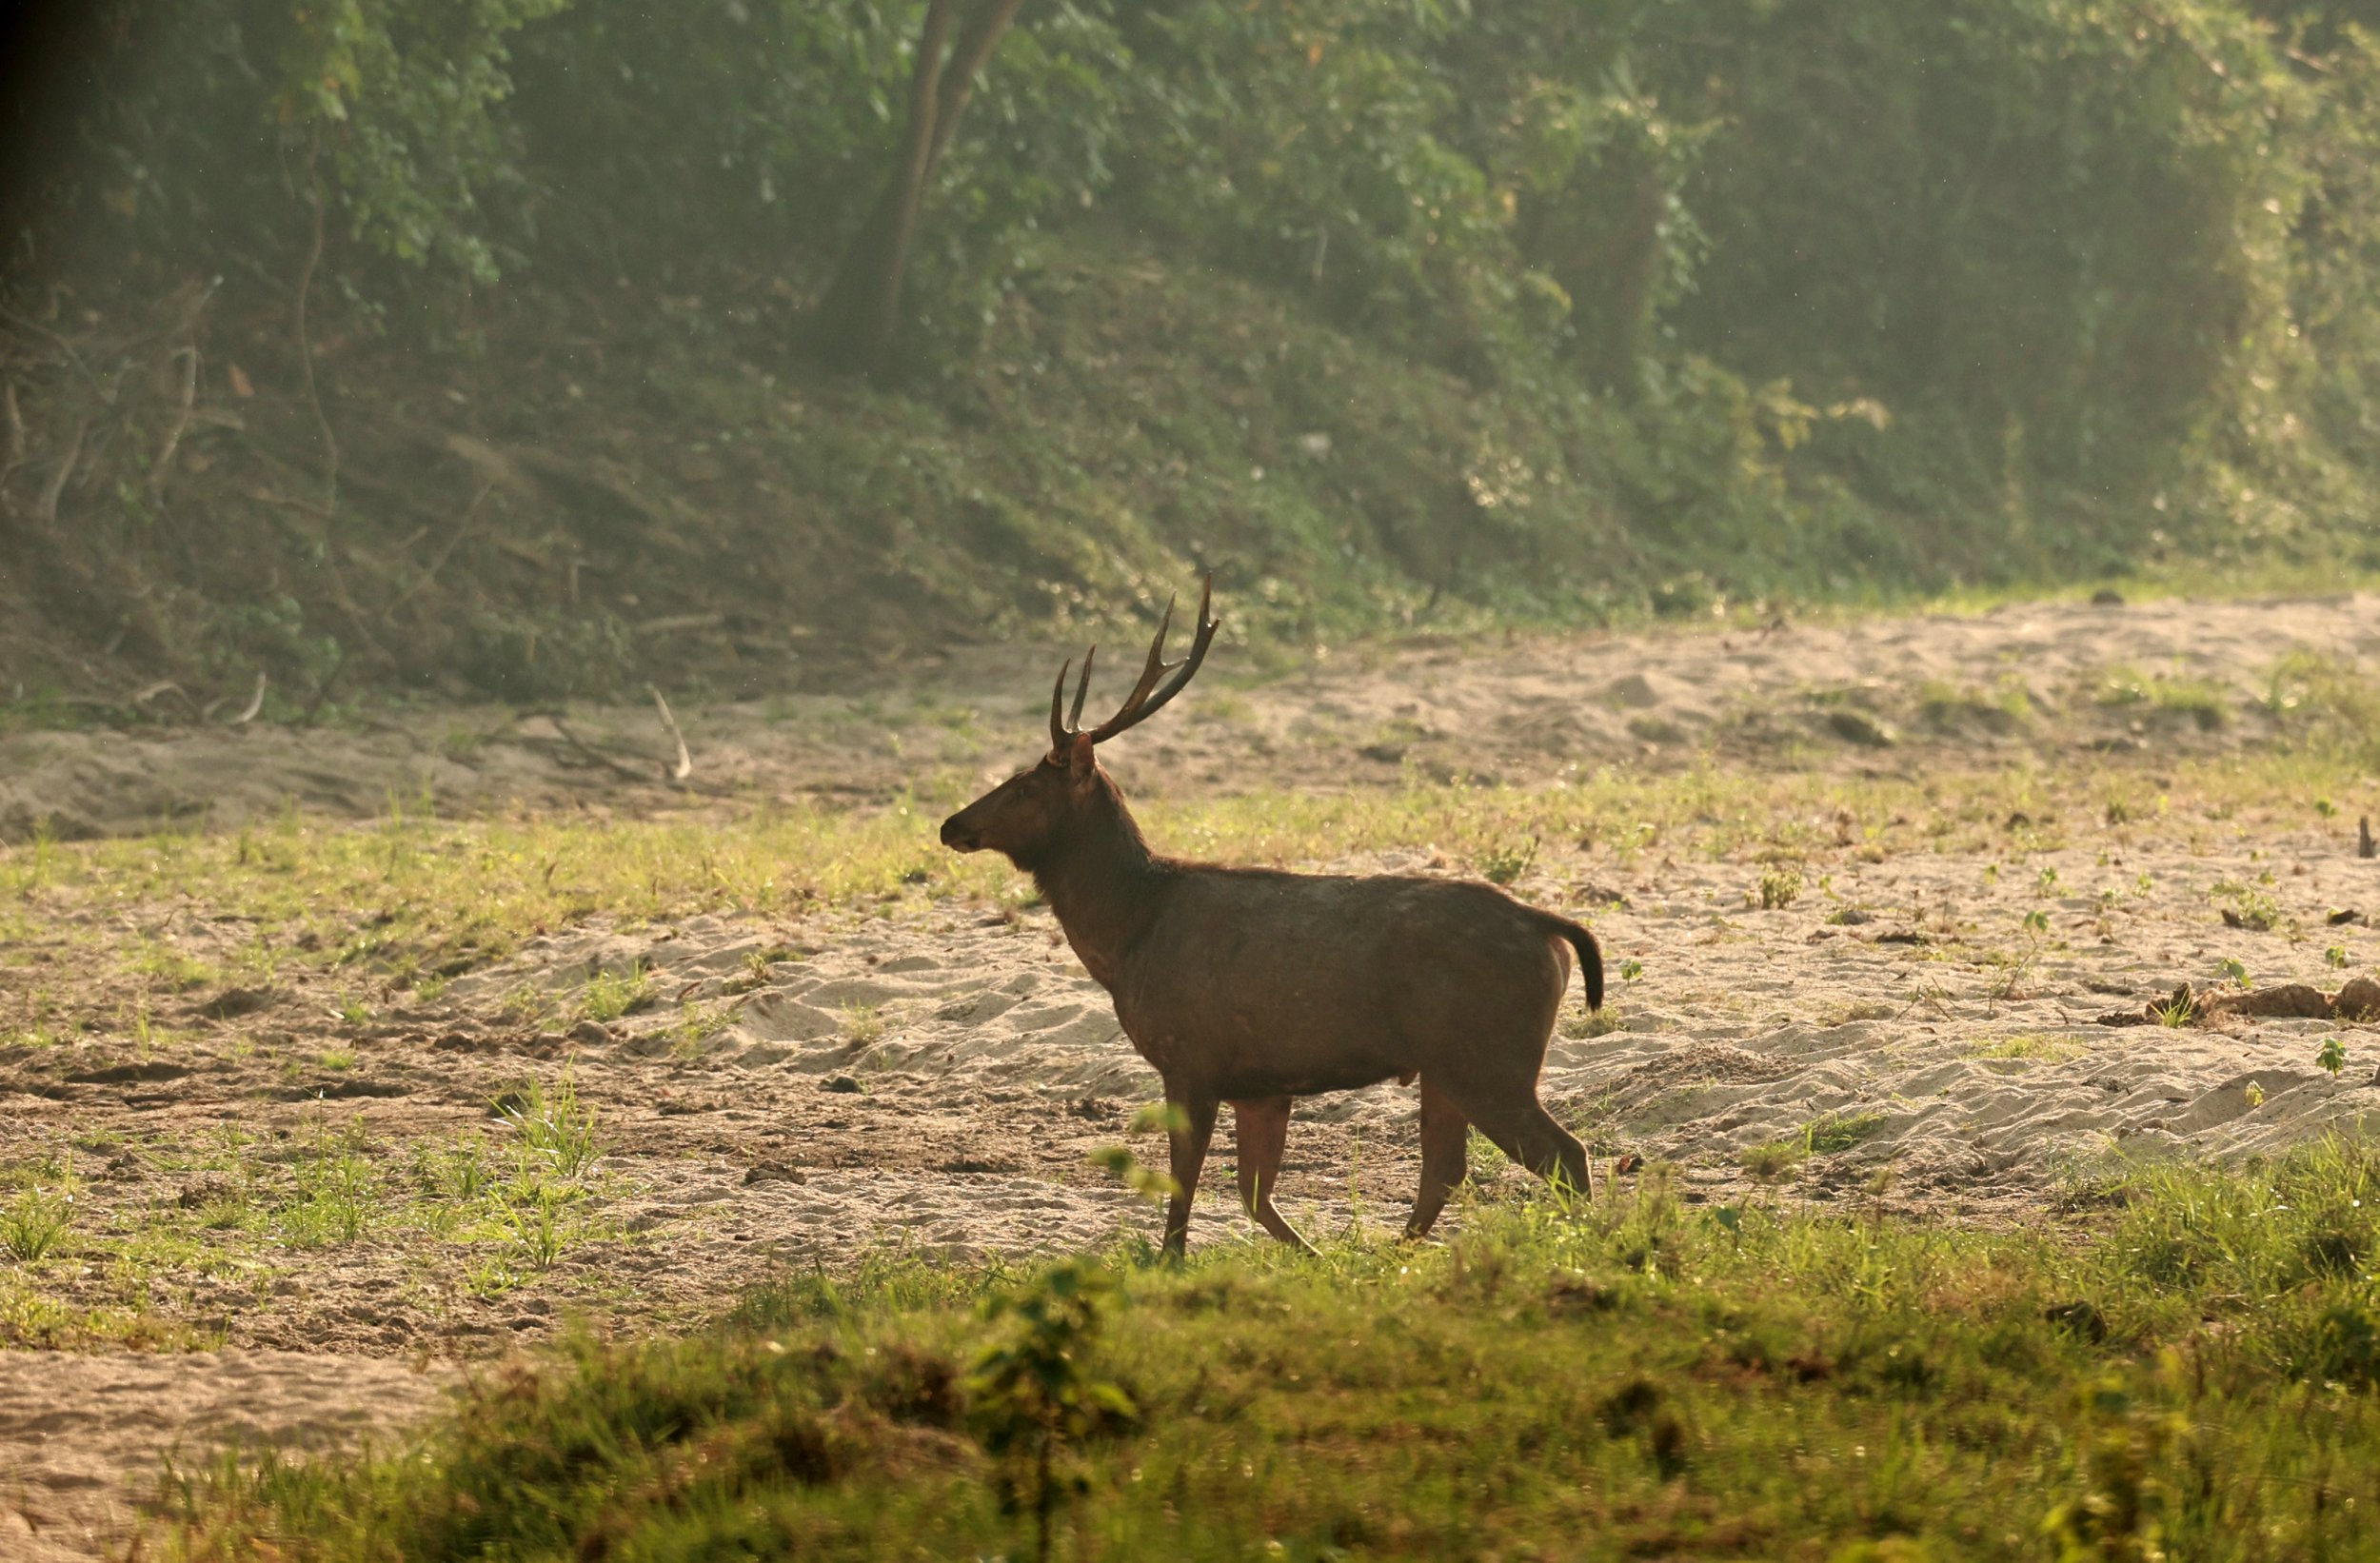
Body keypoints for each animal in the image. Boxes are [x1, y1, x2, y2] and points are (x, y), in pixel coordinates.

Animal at [938, 579, 1605, 1257]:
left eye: (1023, 786)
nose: (951, 825)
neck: (1128, 939)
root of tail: (1549, 927)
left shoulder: (1190, 1058)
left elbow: (1184, 1187)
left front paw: (1170, 1263)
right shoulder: (1262, 1085)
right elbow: (1253, 1193)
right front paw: (1316, 1258)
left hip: (1487, 1054)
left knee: (1564, 1153)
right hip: (1447, 1063)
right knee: (1446, 1167)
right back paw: (1391, 1253)